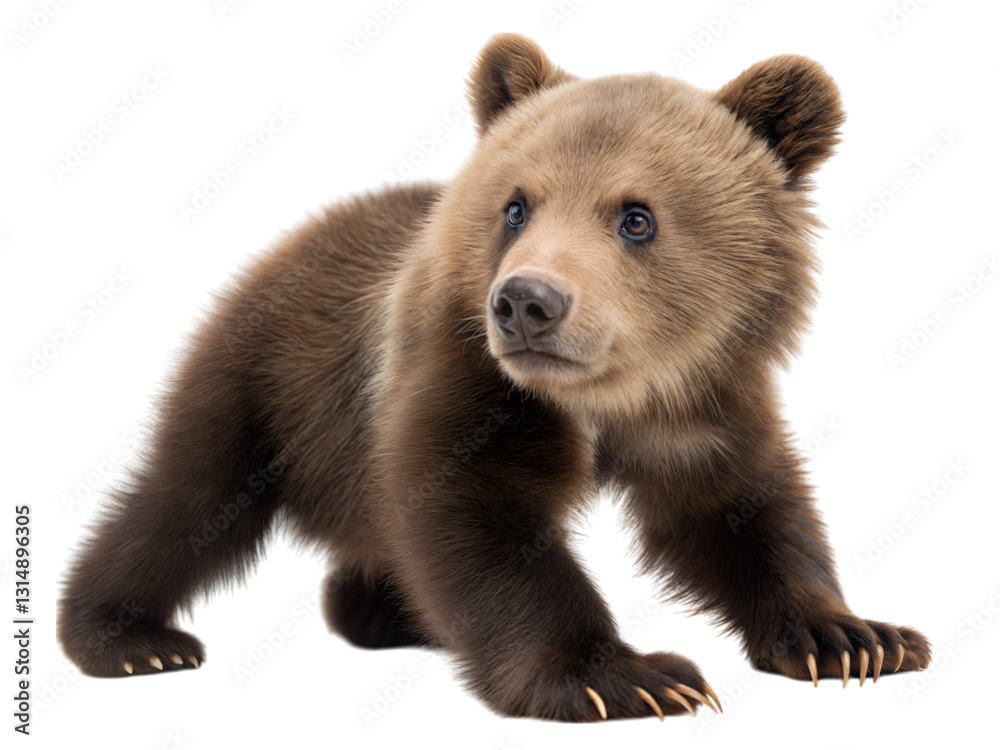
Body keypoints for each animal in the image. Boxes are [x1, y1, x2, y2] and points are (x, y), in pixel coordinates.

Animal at [58, 34, 930, 722]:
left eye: (636, 217)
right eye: (517, 206)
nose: (526, 303)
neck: (607, 398)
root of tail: (299, 233)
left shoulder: (706, 398)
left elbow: (743, 510)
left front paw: (853, 636)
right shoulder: (462, 383)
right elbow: (479, 522)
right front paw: (629, 677)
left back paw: (386, 612)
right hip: (264, 381)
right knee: (185, 499)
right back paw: (128, 636)